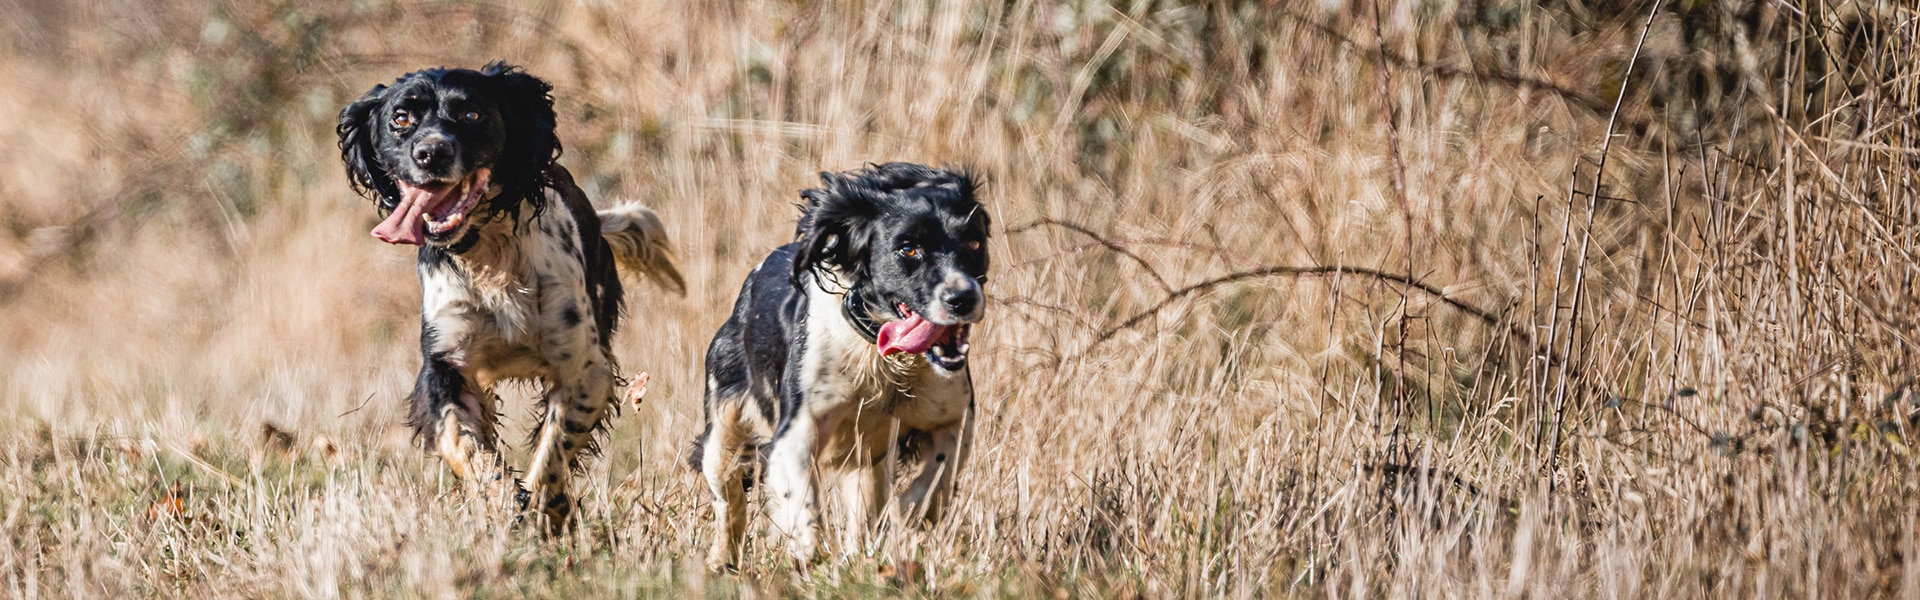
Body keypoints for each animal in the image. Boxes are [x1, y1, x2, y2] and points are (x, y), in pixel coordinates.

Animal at [337, 61, 683, 523]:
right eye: (401, 119)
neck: (489, 253)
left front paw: (540, 506)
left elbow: (554, 447)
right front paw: (502, 497)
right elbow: (462, 441)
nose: (431, 153)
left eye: (472, 114)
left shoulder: (586, 368)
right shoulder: (446, 363)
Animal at [691, 161, 990, 569]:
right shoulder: (797, 427)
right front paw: (807, 547)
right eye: (908, 248)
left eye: (974, 243)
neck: (882, 357)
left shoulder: (953, 416)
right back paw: (723, 561)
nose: (963, 297)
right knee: (729, 498)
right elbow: (799, 494)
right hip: (723, 426)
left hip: (866, 462)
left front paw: (906, 513)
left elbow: (938, 475)